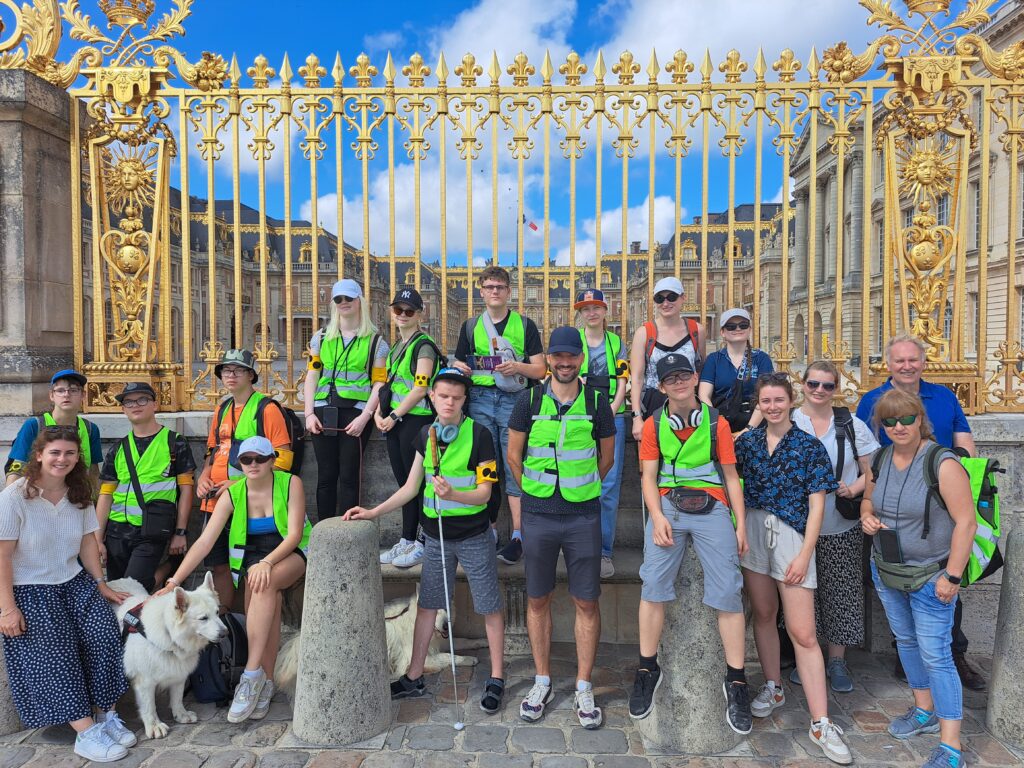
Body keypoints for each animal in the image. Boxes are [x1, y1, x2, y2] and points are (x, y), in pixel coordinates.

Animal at [108, 573, 228, 741]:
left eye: (217, 612)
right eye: (203, 618)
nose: (225, 633)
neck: (169, 635)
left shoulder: (179, 673)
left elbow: (177, 697)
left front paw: (181, 715)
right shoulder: (144, 681)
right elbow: (149, 706)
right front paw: (154, 725)